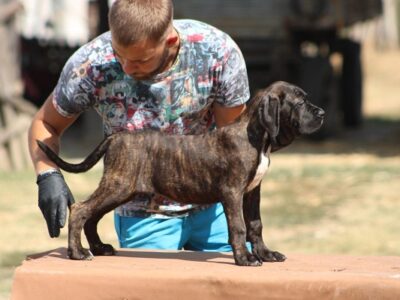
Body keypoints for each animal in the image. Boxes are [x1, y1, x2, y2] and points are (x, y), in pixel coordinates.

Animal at [37, 81, 324, 266]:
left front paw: (266, 254)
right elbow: (239, 227)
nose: (321, 112)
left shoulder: (252, 193)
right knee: (81, 210)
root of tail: (116, 137)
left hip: (122, 189)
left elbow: (256, 225)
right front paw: (245, 258)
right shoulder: (232, 192)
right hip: (118, 185)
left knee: (92, 216)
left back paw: (99, 249)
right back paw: (78, 253)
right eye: (300, 102)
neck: (255, 136)